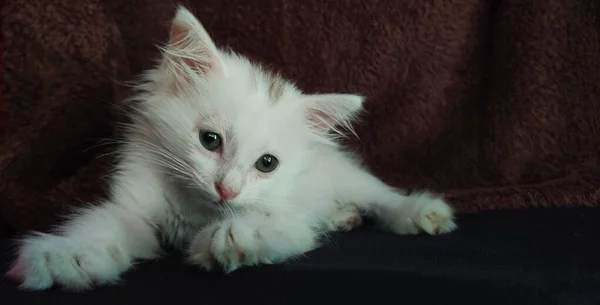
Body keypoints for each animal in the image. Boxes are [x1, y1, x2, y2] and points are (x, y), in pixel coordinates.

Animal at [5, 5, 454, 290]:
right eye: (210, 140)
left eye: (267, 163)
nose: (227, 189)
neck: (196, 210)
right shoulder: (135, 210)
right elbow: (102, 225)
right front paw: (65, 256)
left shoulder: (294, 218)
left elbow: (274, 222)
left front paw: (234, 237)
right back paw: (343, 216)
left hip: (345, 175)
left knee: (379, 195)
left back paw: (418, 212)